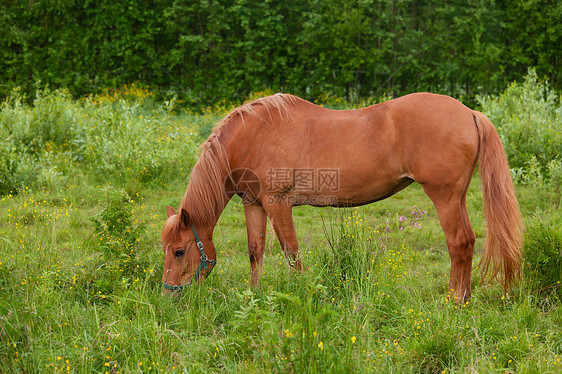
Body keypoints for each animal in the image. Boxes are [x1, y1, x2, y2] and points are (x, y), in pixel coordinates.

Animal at [159, 93, 520, 300]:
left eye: (179, 251)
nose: (168, 295)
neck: (254, 134)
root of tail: (469, 112)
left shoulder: (279, 204)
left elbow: (291, 252)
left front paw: (300, 293)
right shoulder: (254, 204)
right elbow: (255, 252)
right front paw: (254, 294)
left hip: (444, 198)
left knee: (458, 244)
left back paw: (454, 300)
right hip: (457, 198)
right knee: (468, 242)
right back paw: (465, 297)